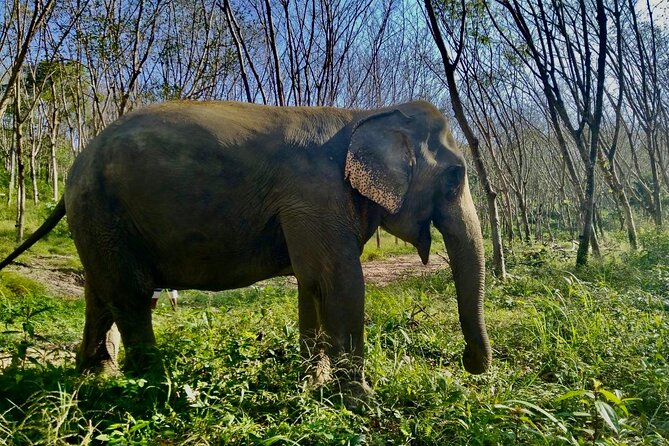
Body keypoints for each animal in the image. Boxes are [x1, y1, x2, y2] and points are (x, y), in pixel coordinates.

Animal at [0, 100, 490, 394]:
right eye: (455, 178)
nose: (470, 364)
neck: (363, 114)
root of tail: (76, 165)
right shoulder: (314, 194)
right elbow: (339, 281)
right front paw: (360, 399)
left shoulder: (311, 206)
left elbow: (311, 283)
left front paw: (312, 387)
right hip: (104, 211)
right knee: (131, 295)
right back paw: (153, 382)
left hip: (98, 219)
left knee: (99, 293)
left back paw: (95, 376)